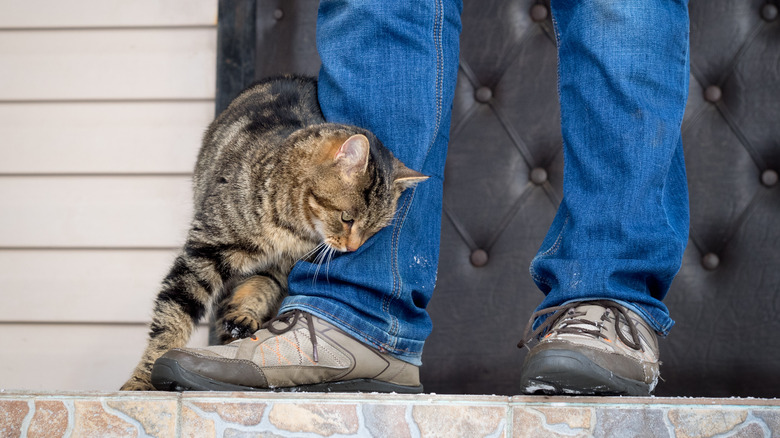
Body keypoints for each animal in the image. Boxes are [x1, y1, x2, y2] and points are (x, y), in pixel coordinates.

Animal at [119, 74, 430, 390]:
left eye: (373, 231)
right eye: (347, 218)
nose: (353, 248)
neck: (292, 228)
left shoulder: (283, 268)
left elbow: (262, 287)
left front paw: (244, 315)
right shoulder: (205, 250)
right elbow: (173, 317)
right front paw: (143, 378)